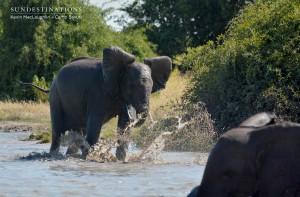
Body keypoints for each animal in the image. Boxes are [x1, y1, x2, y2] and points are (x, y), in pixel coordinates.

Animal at [23, 46, 172, 162]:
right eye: (131, 86)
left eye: (152, 88)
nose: (137, 120)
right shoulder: (97, 93)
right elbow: (95, 125)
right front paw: (88, 159)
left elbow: (124, 125)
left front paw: (121, 160)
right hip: (55, 96)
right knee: (57, 131)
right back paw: (54, 156)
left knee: (79, 130)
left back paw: (70, 156)